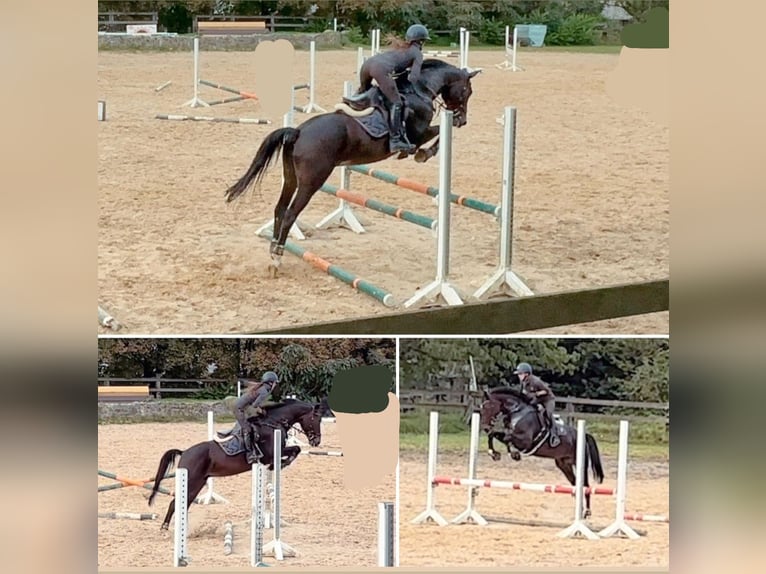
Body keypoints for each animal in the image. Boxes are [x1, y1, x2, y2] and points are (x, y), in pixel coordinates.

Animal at [148, 400, 326, 532]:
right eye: (316, 419)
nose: (316, 441)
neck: (273, 423)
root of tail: (184, 452)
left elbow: (296, 449)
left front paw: (280, 465)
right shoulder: (271, 453)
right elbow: (295, 449)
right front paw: (279, 465)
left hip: (197, 483)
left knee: (183, 503)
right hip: (192, 481)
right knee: (176, 503)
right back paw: (165, 528)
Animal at [222, 58, 484, 276]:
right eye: (467, 91)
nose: (463, 119)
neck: (420, 90)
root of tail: (298, 132)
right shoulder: (419, 133)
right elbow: (440, 132)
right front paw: (424, 153)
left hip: (291, 178)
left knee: (279, 209)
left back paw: (273, 251)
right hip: (311, 182)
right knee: (289, 214)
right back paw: (277, 258)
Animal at [480, 390, 608, 520]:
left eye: (489, 406)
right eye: (481, 408)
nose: (485, 428)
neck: (517, 412)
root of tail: (584, 435)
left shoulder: (525, 440)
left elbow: (507, 438)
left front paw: (514, 454)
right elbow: (495, 435)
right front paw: (494, 453)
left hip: (580, 463)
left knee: (585, 486)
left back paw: (587, 511)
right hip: (564, 465)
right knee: (575, 483)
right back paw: (580, 510)